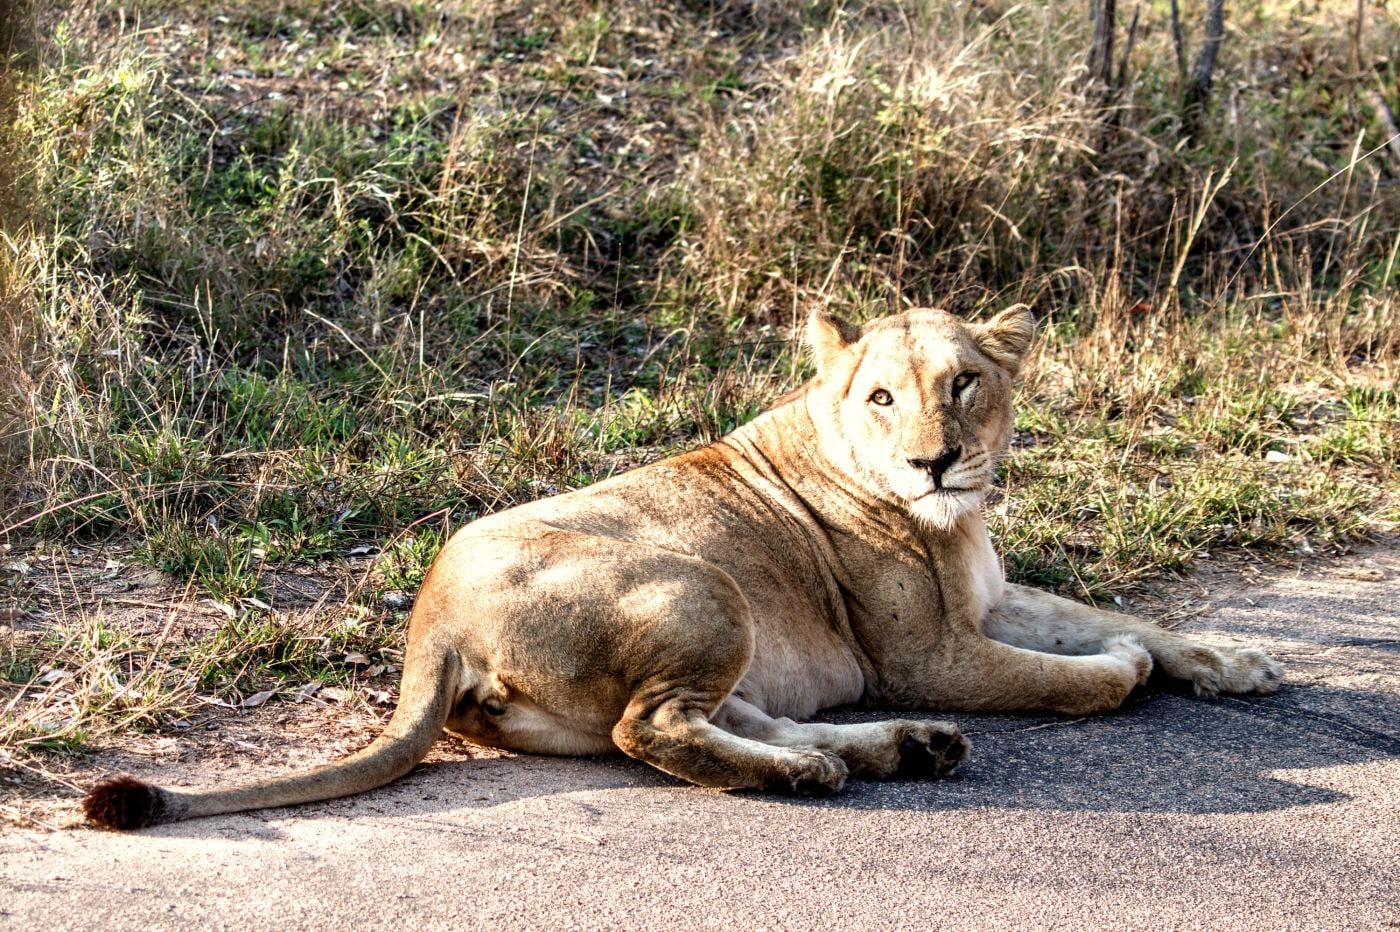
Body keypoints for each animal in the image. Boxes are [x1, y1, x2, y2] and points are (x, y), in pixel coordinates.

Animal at [84, 306, 1282, 829]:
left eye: (965, 384)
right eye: (880, 396)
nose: (934, 460)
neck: (953, 525)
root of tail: (430, 620)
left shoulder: (989, 597)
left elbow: (1114, 616)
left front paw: (1237, 661)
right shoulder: (928, 650)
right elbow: (1071, 674)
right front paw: (1118, 670)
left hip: (720, 625)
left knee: (731, 718)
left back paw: (899, 750)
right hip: (703, 584)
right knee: (649, 730)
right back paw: (827, 772)